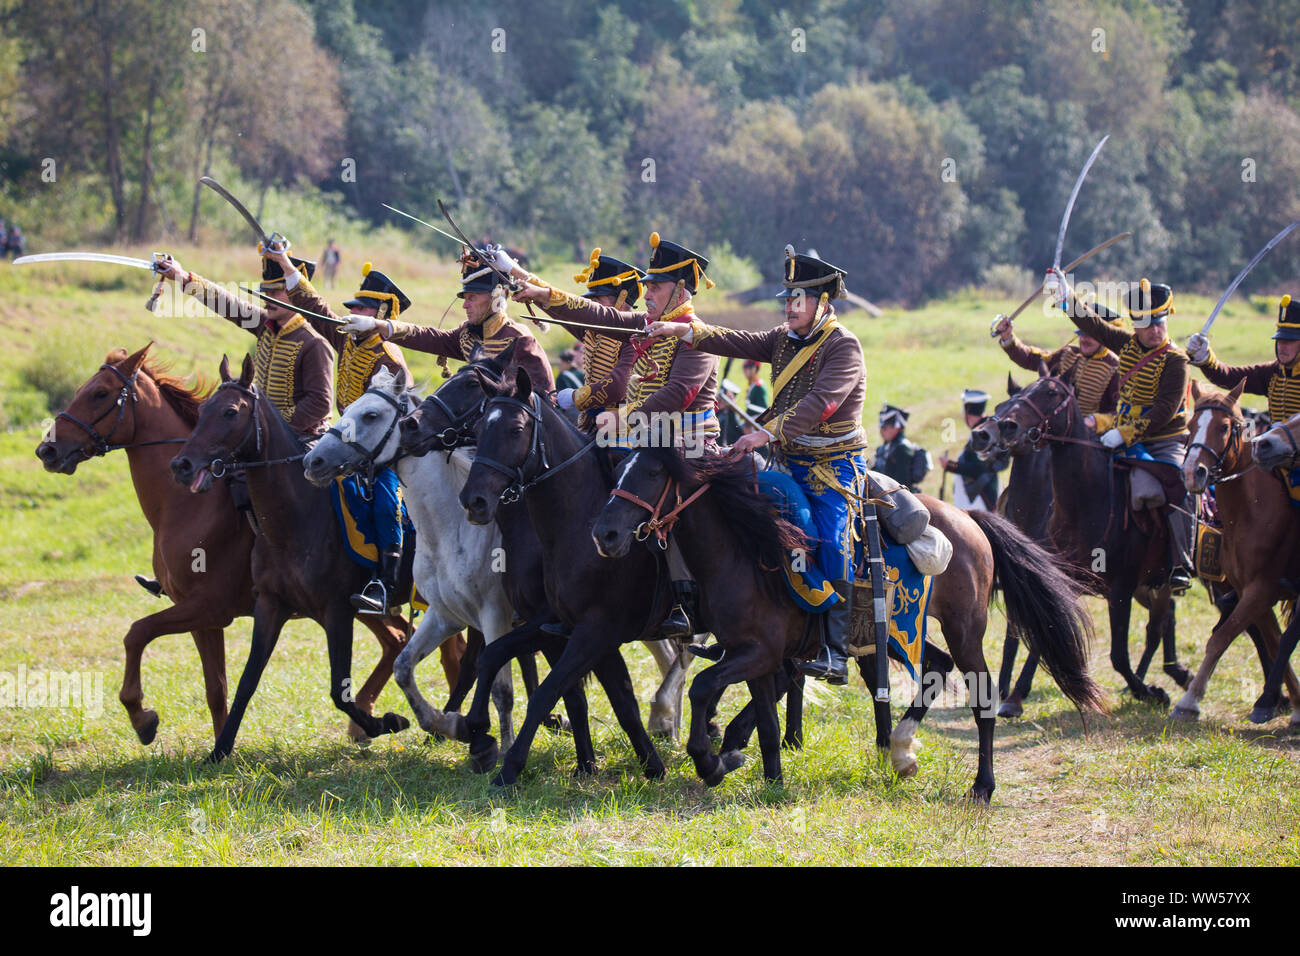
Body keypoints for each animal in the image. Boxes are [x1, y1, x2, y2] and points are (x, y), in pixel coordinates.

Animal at [987, 369, 1190, 707]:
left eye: (1052, 393)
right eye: (1005, 404)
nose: (1004, 427)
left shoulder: (1120, 588)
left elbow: (1118, 655)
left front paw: (1148, 691)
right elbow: (1044, 633)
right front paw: (1014, 695)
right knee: (1166, 617)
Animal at [1170, 377, 1300, 723]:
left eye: (1224, 427)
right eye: (1191, 425)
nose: (1193, 473)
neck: (1251, 511)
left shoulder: (1260, 591)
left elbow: (1220, 639)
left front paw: (1189, 701)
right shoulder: (1250, 593)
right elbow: (1274, 644)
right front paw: (1292, 705)